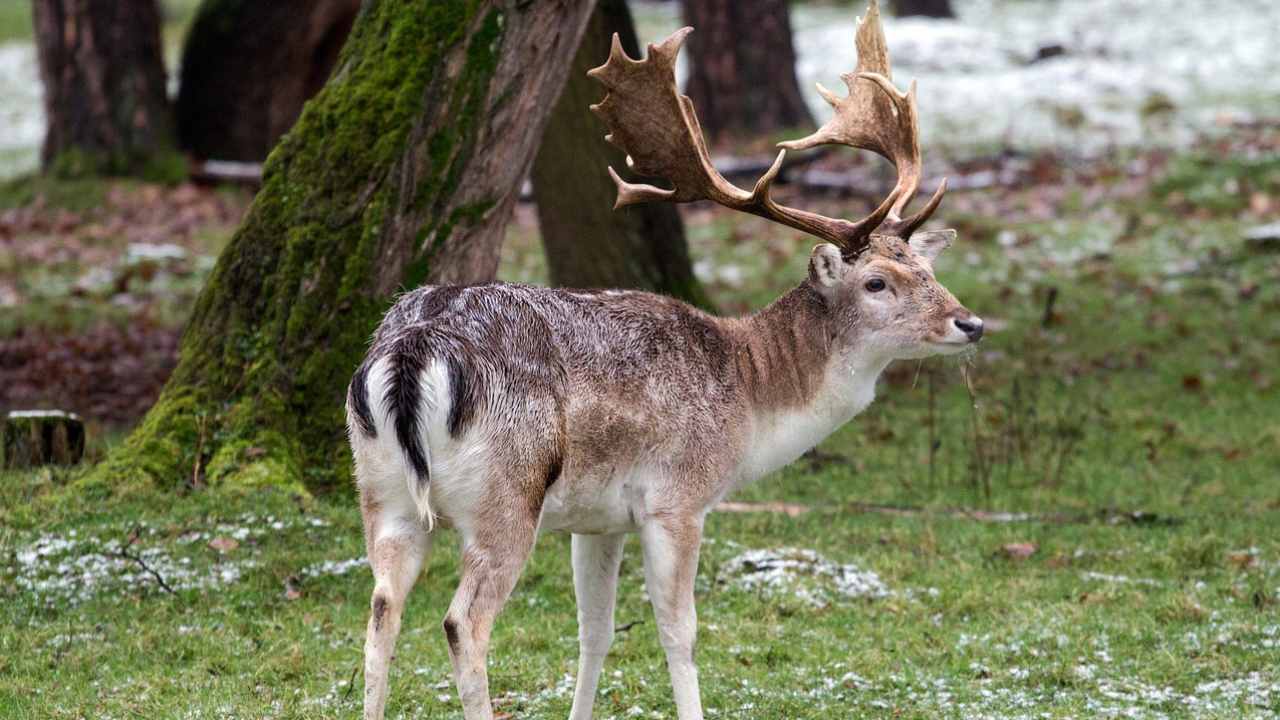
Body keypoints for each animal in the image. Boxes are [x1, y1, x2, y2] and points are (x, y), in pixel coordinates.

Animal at [345, 2, 983, 712]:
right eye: (876, 283)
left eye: (927, 269)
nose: (971, 322)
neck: (749, 395)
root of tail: (412, 349)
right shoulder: (677, 498)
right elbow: (680, 631)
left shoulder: (598, 520)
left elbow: (594, 631)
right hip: (505, 495)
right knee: (463, 623)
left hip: (381, 490)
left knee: (379, 613)